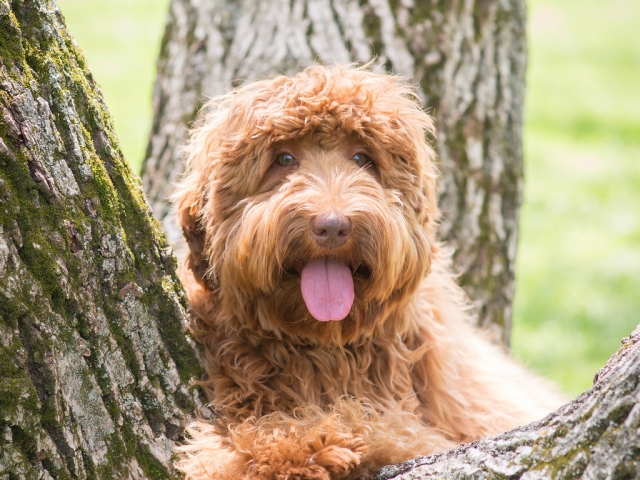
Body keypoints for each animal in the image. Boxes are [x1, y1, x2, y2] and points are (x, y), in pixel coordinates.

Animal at [172, 64, 564, 480]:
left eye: (362, 157)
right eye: (283, 159)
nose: (332, 226)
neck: (323, 346)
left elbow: (384, 426)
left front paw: (309, 439)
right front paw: (275, 446)